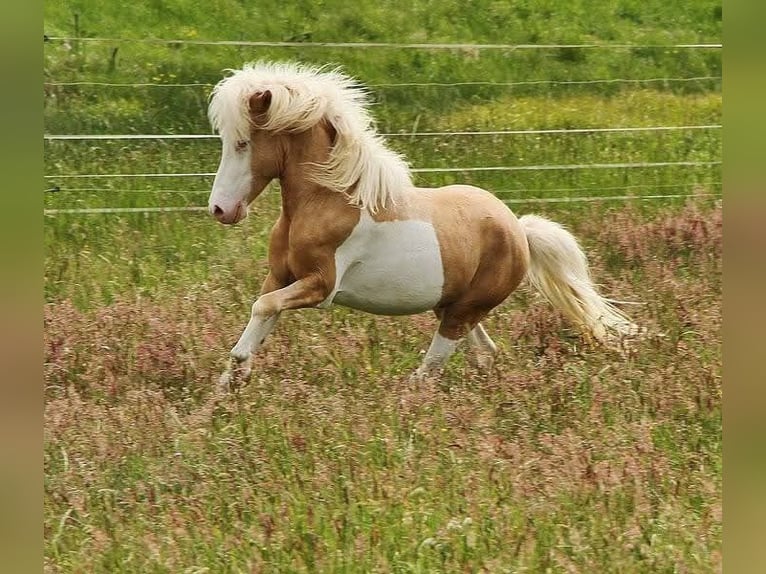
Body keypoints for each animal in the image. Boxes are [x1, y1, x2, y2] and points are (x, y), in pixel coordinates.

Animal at [206, 61, 636, 389]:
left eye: (243, 143)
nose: (220, 210)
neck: (326, 202)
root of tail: (519, 229)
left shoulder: (320, 286)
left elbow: (263, 307)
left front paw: (236, 371)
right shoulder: (280, 277)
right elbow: (263, 312)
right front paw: (230, 381)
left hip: (465, 310)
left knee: (434, 365)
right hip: (452, 305)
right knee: (483, 353)